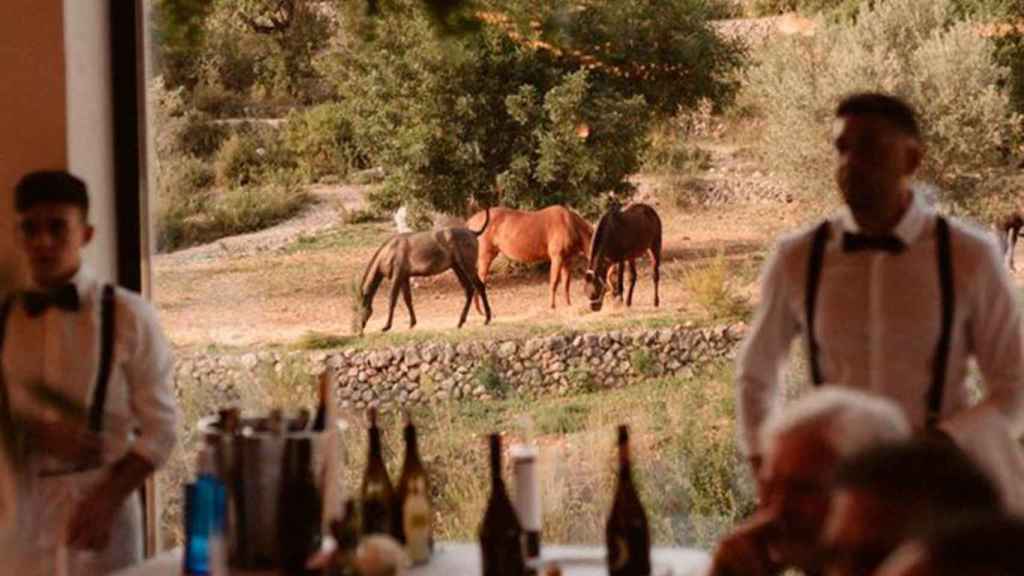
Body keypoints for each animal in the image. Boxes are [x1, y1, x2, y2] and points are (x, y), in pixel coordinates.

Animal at [356, 207, 491, 332]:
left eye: (359, 307)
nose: (359, 328)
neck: (389, 251)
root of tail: (473, 233)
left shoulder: (397, 276)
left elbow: (392, 300)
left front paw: (387, 326)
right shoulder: (404, 277)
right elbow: (408, 299)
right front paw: (412, 323)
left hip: (467, 266)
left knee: (479, 286)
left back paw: (487, 319)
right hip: (457, 268)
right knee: (469, 290)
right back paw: (460, 322)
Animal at [464, 203, 593, 307]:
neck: (570, 224)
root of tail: (471, 221)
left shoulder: (567, 260)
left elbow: (566, 284)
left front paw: (568, 305)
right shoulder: (557, 257)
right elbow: (554, 282)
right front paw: (552, 306)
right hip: (485, 257)